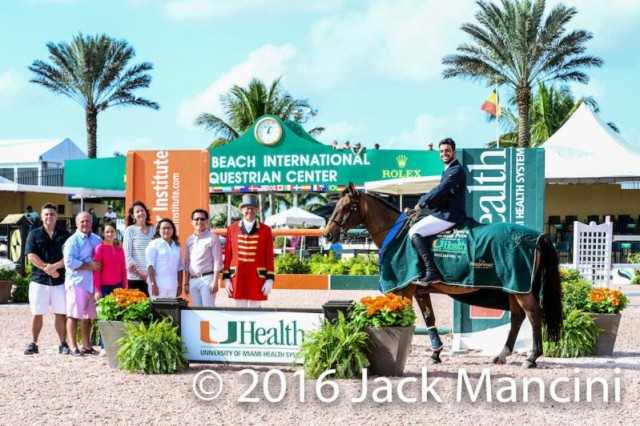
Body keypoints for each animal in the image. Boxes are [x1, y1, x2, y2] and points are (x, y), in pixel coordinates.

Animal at [324, 181, 560, 368]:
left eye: (345, 207)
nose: (327, 235)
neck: (397, 235)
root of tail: (537, 237)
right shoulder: (419, 290)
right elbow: (429, 317)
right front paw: (436, 354)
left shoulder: (404, 289)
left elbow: (406, 316)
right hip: (513, 287)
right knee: (517, 317)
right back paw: (502, 355)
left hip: (520, 288)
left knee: (533, 314)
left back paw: (532, 357)